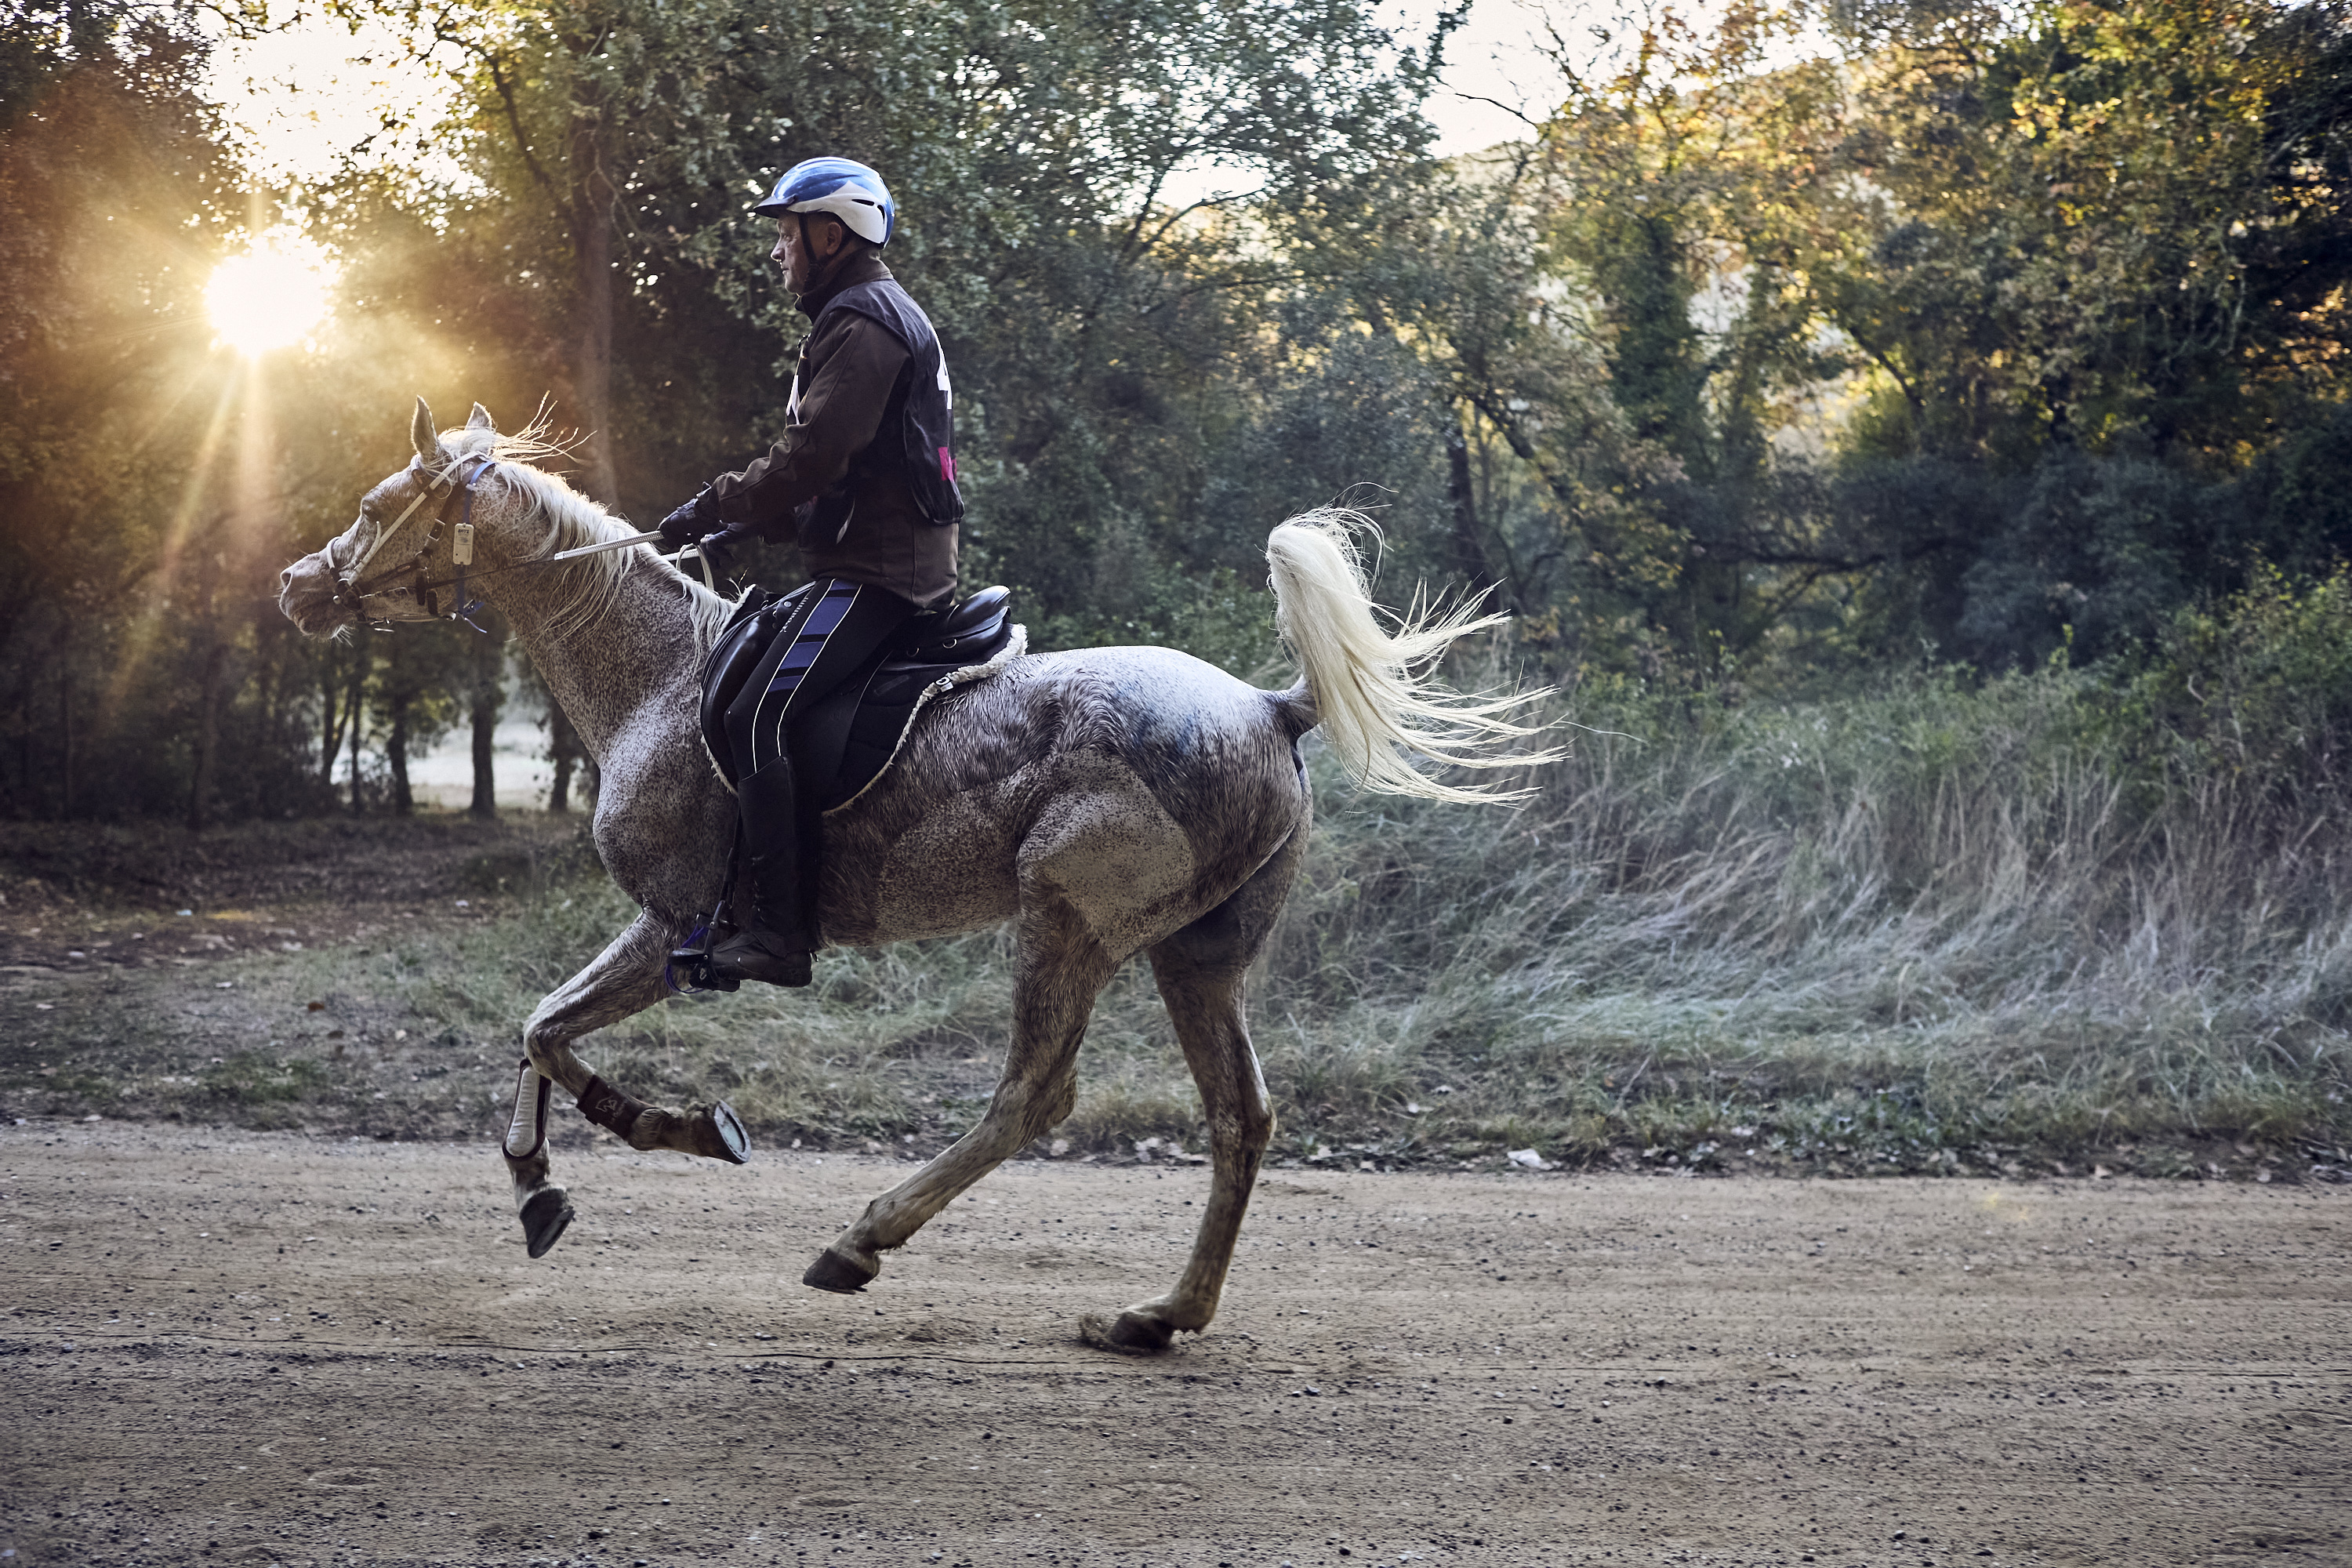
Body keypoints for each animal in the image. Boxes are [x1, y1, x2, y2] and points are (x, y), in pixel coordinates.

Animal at [270, 401, 1543, 1354]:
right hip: (1199, 958)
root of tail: (1273, 708)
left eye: (379, 507)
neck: (661, 674)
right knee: (1241, 1116)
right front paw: (556, 1179)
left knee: (1036, 1096)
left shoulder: (675, 926)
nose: (296, 586)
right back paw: (1158, 1315)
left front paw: (644, 1139)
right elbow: (541, 1029)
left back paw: (861, 1240)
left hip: (1067, 922)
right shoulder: (663, 934)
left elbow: (546, 1027)